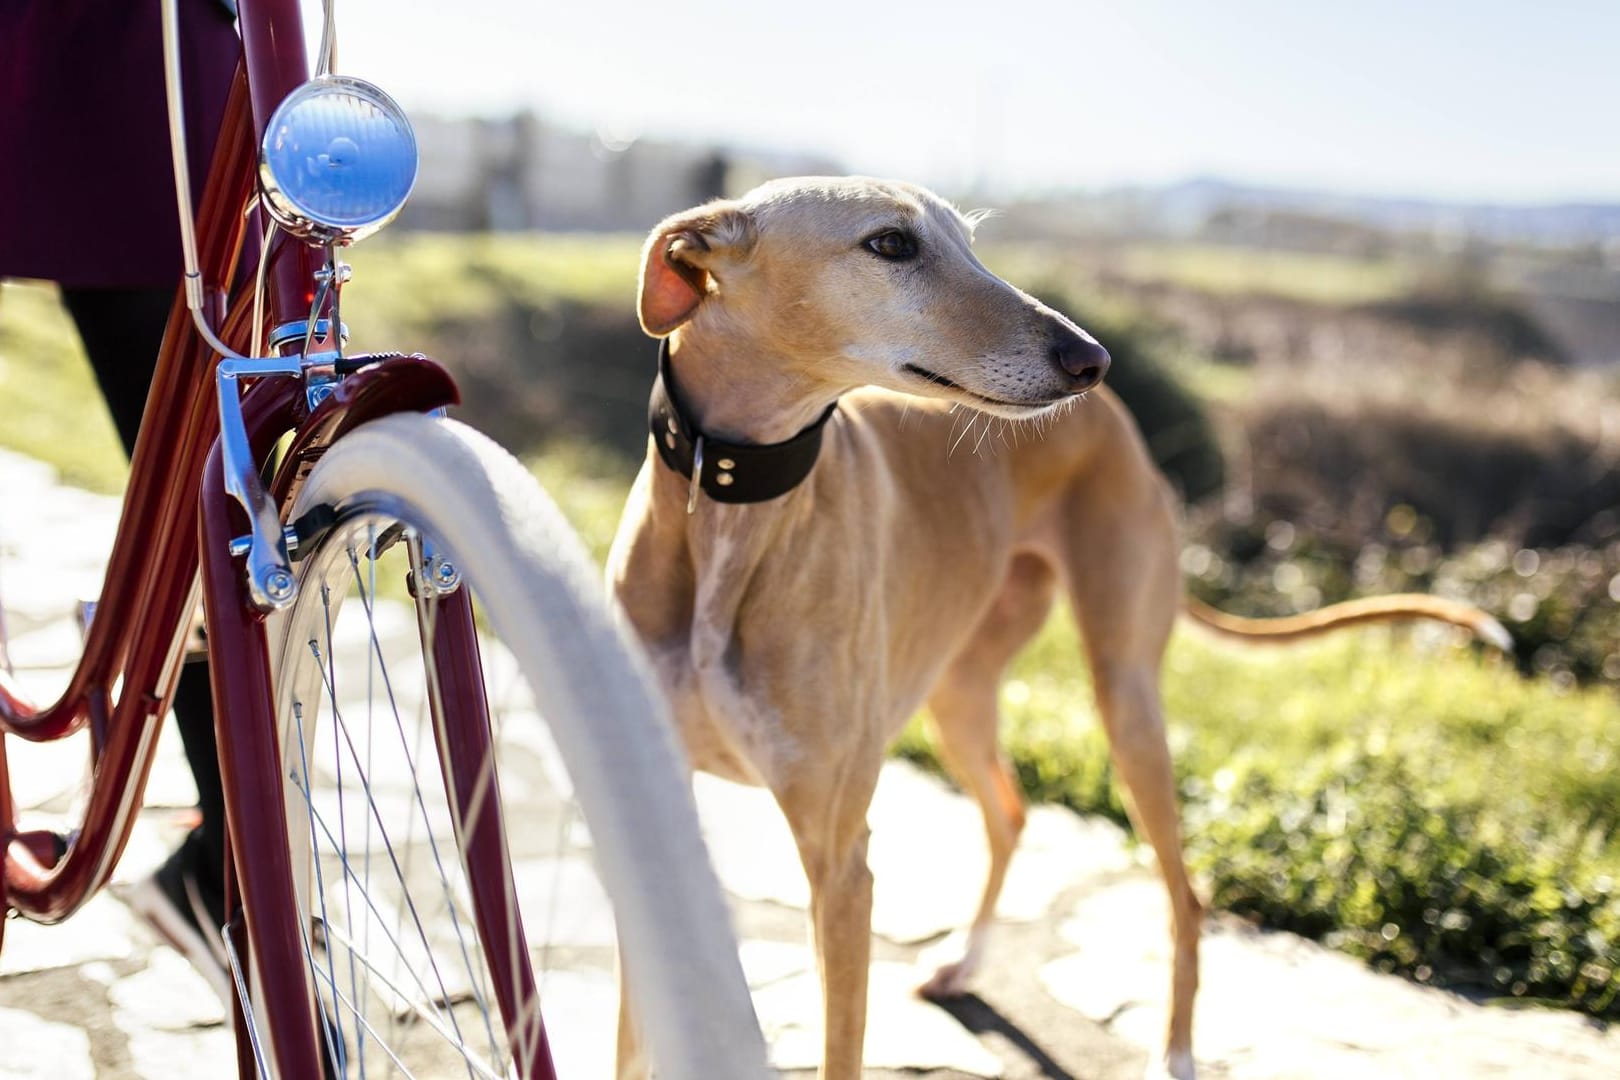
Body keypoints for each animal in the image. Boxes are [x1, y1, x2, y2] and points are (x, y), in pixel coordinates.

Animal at [609, 177, 1503, 1080]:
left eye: (969, 243)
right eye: (891, 244)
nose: (1091, 359)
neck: (726, 497)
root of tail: (1122, 424)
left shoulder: (841, 863)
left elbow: (841, 1048)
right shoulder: (653, 809)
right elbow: (630, 1041)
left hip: (1124, 696)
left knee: (1184, 893)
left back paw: (1175, 1050)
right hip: (959, 692)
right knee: (1010, 814)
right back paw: (967, 962)